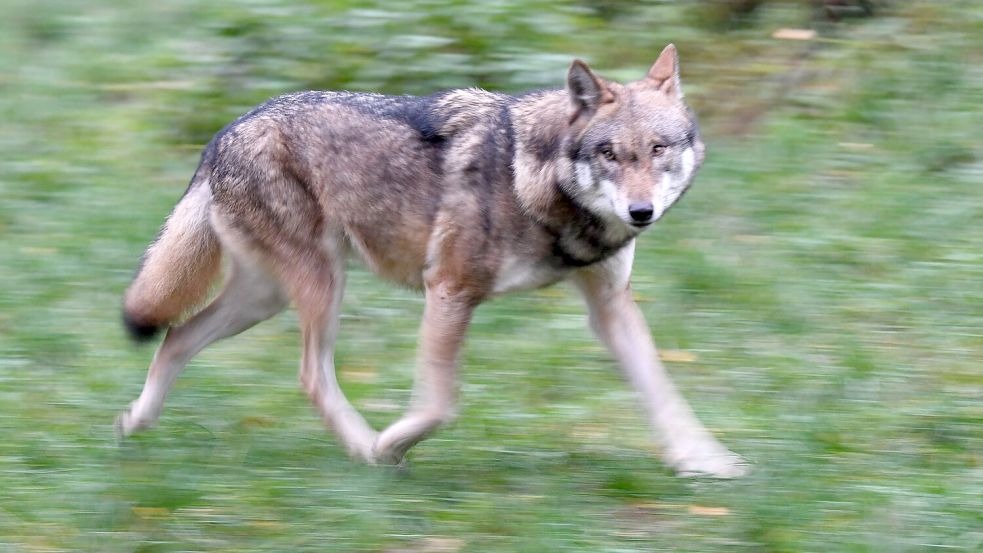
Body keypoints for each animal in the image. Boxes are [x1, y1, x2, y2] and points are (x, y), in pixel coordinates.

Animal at [117, 44, 746, 477]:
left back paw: (135, 423)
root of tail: (224, 132)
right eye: (611, 154)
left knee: (177, 336)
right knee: (309, 376)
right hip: (320, 287)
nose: (641, 212)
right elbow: (440, 404)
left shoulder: (610, 306)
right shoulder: (449, 289)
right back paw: (365, 449)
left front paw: (706, 462)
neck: (536, 181)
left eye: (658, 149)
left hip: (265, 298)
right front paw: (391, 443)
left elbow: (663, 391)